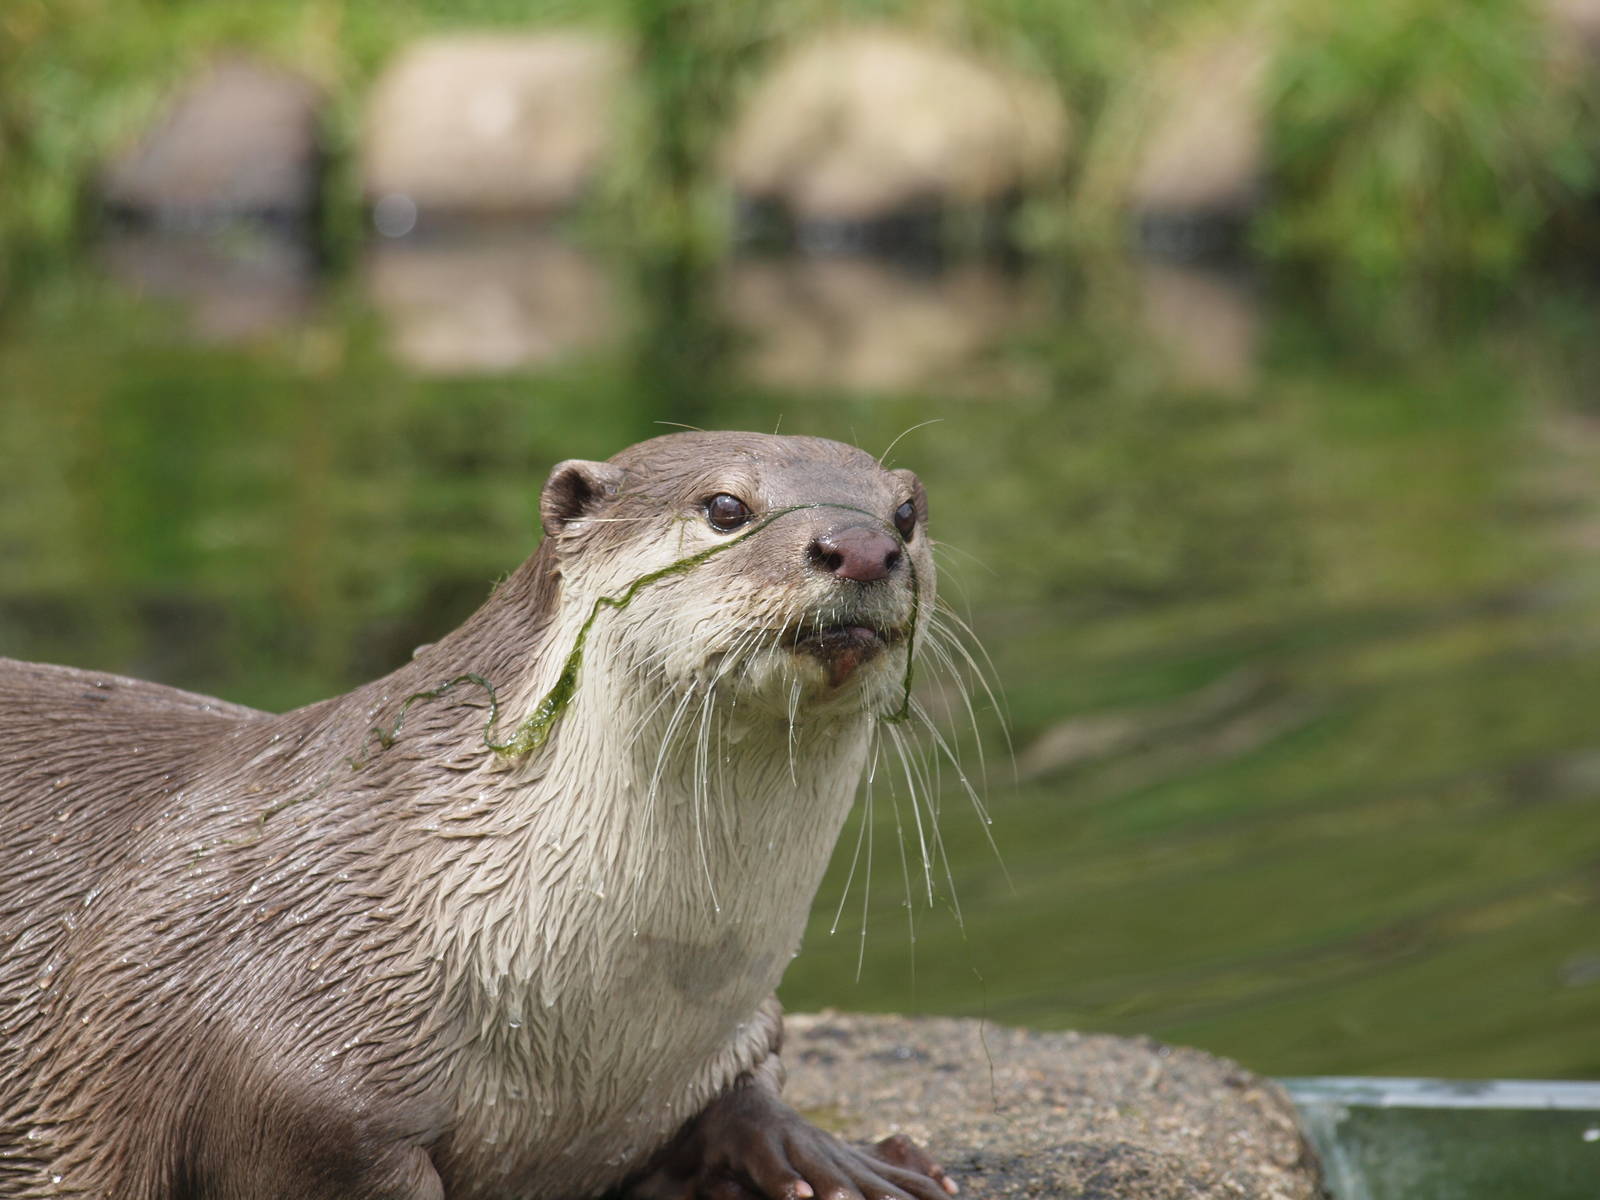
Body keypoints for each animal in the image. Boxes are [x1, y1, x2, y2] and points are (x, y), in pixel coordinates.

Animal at [0, 433, 959, 1200]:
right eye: (726, 507)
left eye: (907, 512)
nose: (863, 547)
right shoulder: (296, 1079)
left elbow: (747, 1087)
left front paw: (836, 1159)